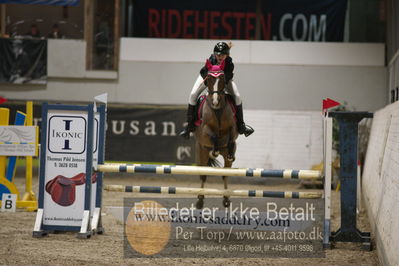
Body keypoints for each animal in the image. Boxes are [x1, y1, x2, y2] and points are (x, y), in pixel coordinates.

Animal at [196, 59, 239, 209]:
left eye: (222, 78)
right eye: (208, 79)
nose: (215, 102)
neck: (217, 110)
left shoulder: (233, 128)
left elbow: (231, 137)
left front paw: (230, 150)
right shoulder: (205, 130)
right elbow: (212, 135)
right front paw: (214, 151)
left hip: (225, 158)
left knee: (225, 174)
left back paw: (226, 199)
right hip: (201, 152)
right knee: (203, 175)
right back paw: (200, 200)